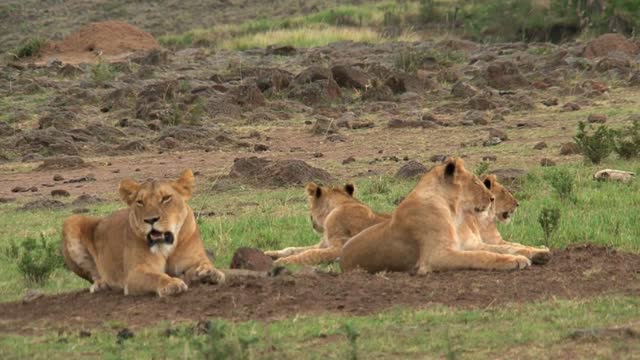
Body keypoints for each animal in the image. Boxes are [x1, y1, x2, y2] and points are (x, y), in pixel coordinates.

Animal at [61, 170, 224, 296]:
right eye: (140, 202)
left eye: (166, 198)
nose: (151, 220)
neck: (167, 247)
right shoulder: (135, 273)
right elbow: (156, 277)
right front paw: (172, 284)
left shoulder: (193, 259)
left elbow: (204, 264)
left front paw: (210, 273)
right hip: (71, 221)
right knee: (93, 275)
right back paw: (101, 285)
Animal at [340, 158, 528, 272]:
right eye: (475, 182)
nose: (491, 198)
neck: (452, 211)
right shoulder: (436, 256)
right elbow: (481, 256)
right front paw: (516, 260)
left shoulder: (463, 244)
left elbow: (497, 248)